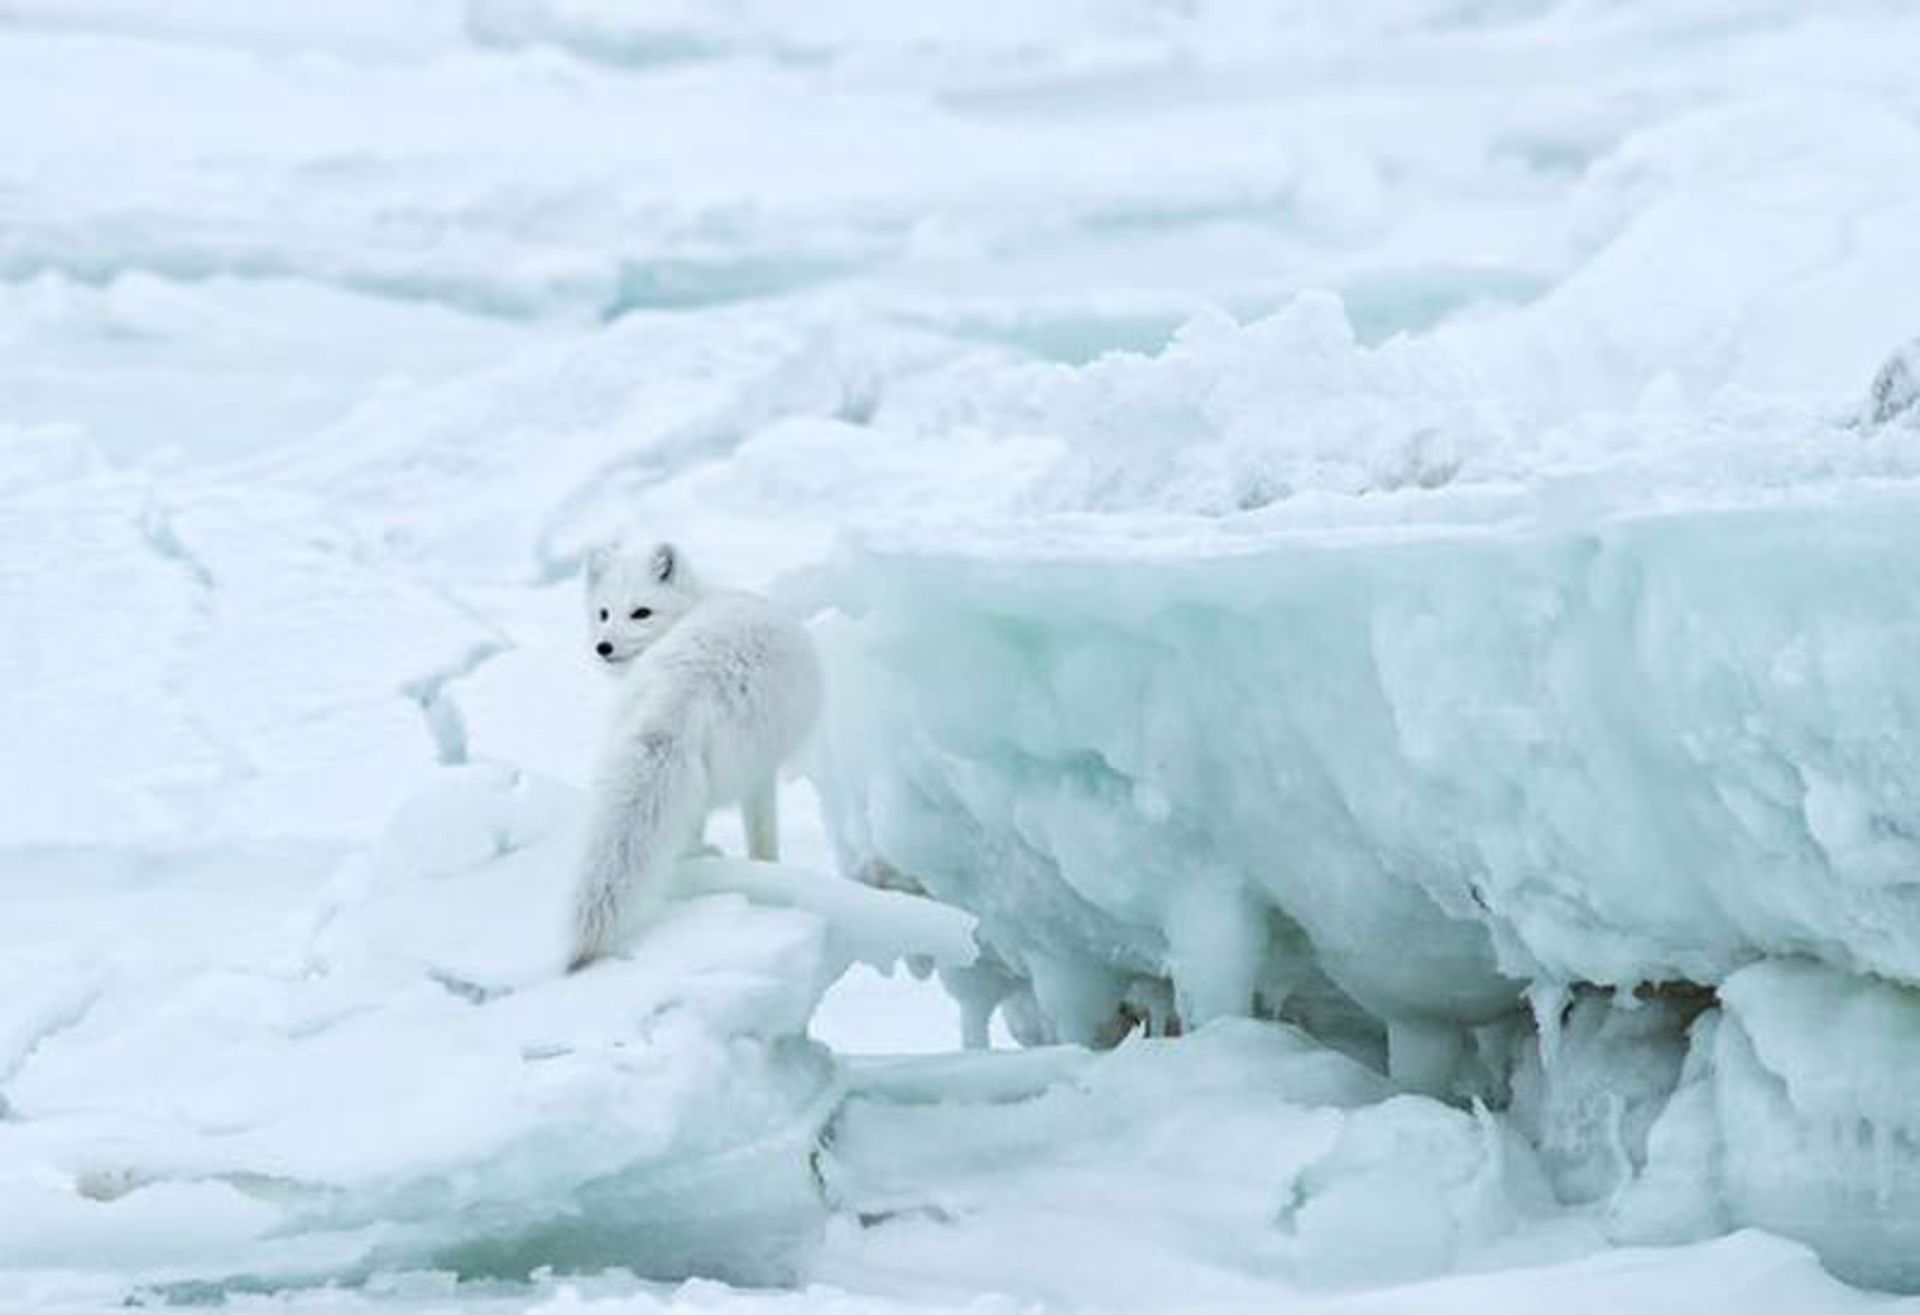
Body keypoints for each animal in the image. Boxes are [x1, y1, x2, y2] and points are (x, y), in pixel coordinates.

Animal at [560, 537, 817, 967]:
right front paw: (768, 867)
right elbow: (763, 835)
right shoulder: (761, 771)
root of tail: (684, 687)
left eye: (641, 612)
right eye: (604, 613)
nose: (603, 646)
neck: (697, 601)